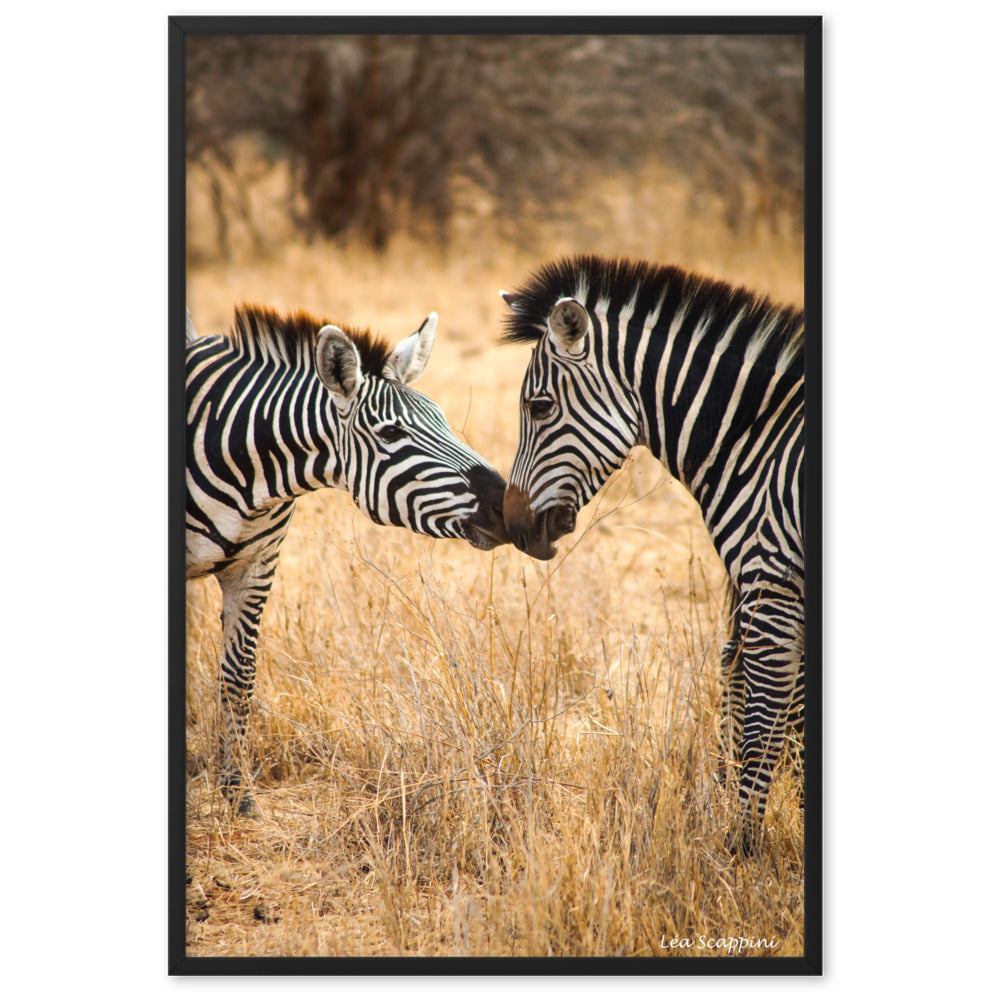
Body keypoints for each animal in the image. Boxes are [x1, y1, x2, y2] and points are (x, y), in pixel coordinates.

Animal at [187, 302, 508, 812]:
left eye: (442, 418)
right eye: (391, 431)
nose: (506, 503)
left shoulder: (256, 566)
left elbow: (239, 677)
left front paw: (238, 795)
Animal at [500, 254, 804, 856]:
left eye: (540, 407)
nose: (515, 527)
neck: (759, 440)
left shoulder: (774, 583)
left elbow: (763, 721)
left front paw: (741, 852)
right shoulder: (757, 588)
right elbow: (743, 693)